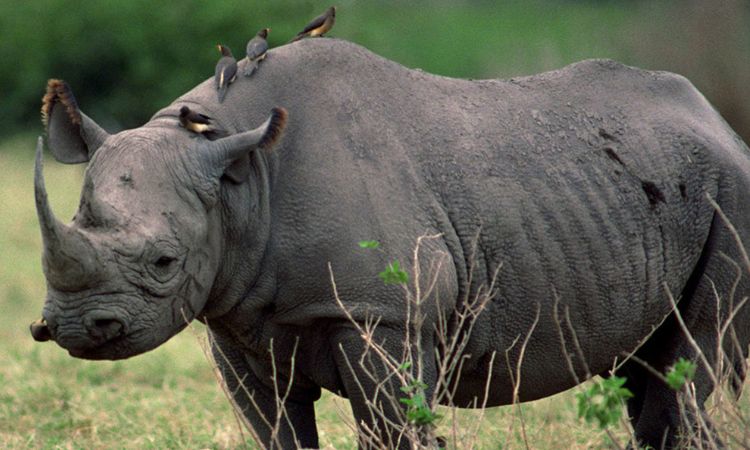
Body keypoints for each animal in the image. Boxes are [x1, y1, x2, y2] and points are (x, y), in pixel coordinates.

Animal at [30, 38, 750, 449]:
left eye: (164, 262)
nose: (75, 328)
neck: (236, 169)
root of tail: (718, 121)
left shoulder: (382, 316)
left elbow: (392, 427)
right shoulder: (232, 321)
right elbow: (277, 431)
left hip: (731, 192)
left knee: (690, 369)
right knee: (649, 372)